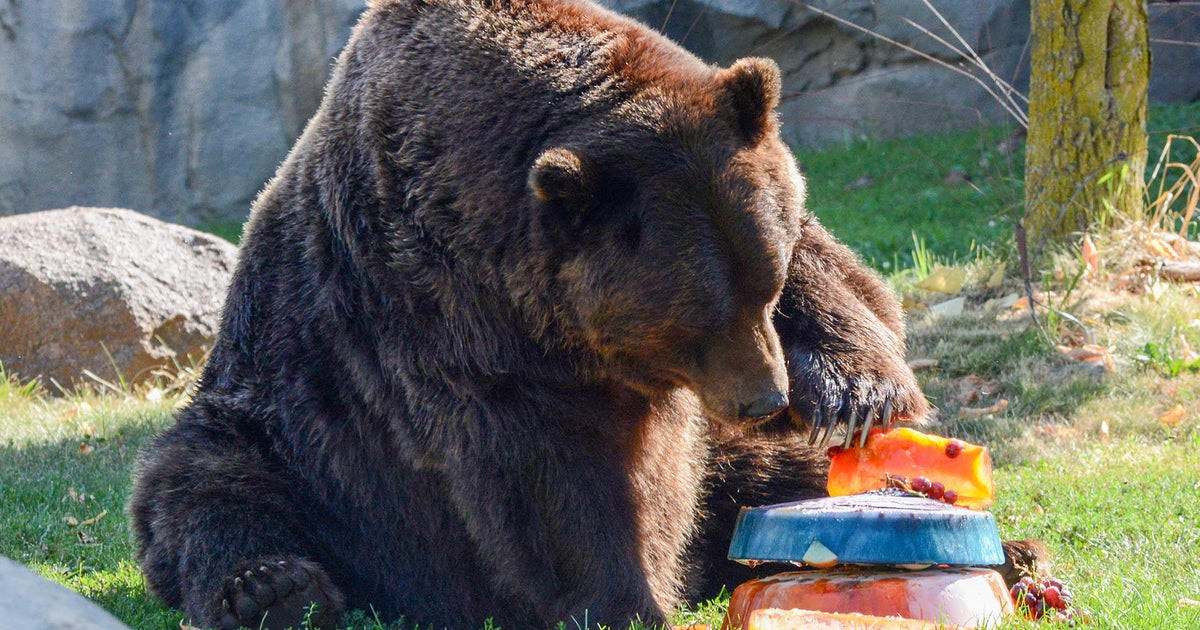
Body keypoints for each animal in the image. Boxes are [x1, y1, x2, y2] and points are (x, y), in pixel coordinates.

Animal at [128, 1, 931, 628]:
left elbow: (853, 284)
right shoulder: (447, 314)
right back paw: (271, 589)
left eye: (763, 283)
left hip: (721, 455)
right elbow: (545, 472)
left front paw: (857, 394)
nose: (764, 398)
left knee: (776, 477)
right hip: (285, 430)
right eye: (693, 319)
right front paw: (624, 601)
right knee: (208, 489)